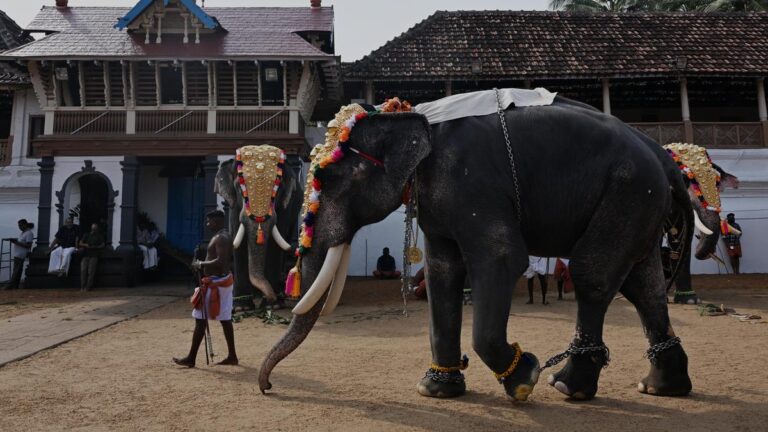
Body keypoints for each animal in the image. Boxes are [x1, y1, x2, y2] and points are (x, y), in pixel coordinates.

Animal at [215, 145, 301, 307]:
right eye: (240, 187)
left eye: (277, 188)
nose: (269, 298)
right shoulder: (234, 206)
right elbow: (238, 241)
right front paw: (241, 307)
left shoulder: (286, 206)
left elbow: (275, 245)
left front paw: (273, 304)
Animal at [258, 95, 695, 402]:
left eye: (329, 178)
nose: (268, 387)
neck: (408, 116)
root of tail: (663, 156)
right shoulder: (439, 203)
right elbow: (442, 272)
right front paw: (436, 390)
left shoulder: (470, 183)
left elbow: (502, 258)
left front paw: (525, 377)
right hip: (638, 201)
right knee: (644, 285)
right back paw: (659, 387)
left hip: (629, 191)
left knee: (593, 274)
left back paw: (565, 386)